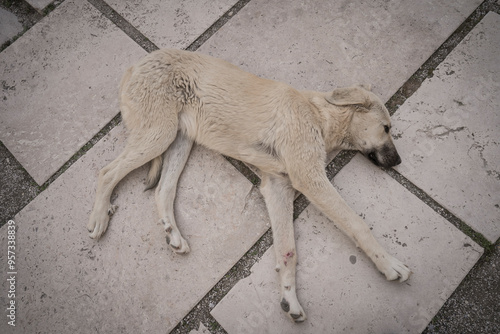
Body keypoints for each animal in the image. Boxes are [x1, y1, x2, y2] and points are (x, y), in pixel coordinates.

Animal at [89, 48, 410, 322]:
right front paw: (389, 264)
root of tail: (135, 65)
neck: (319, 115)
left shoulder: (278, 188)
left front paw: (290, 300)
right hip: (159, 133)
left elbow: (288, 250)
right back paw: (100, 217)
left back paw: (173, 234)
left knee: (163, 190)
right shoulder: (310, 178)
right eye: (386, 128)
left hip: (179, 140)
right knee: (106, 173)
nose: (398, 162)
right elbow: (357, 223)